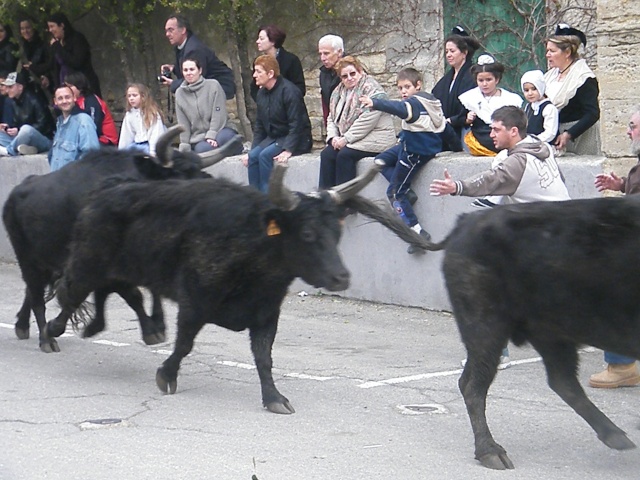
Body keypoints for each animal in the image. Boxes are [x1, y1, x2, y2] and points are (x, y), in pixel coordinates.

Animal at [2, 127, 240, 352]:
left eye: (198, 174)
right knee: (36, 294)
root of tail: (17, 191)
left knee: (33, 291)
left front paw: (158, 325)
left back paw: (23, 326)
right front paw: (150, 330)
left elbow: (150, 291)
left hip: (48, 260)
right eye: (179, 177)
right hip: (27, 258)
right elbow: (133, 295)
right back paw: (46, 339)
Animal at [51, 164, 430, 412]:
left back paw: (117, 329)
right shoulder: (194, 303)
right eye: (308, 233)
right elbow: (184, 344)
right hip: (87, 261)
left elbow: (264, 358)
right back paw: (49, 334)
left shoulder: (266, 314)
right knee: (70, 292)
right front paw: (166, 376)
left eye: (337, 232)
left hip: (115, 269)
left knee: (112, 292)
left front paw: (275, 399)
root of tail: (106, 188)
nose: (342, 278)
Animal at [408, 197, 640, 470]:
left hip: (549, 334)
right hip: (487, 328)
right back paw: (491, 452)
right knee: (474, 385)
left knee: (562, 381)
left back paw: (615, 436)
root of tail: (466, 222)